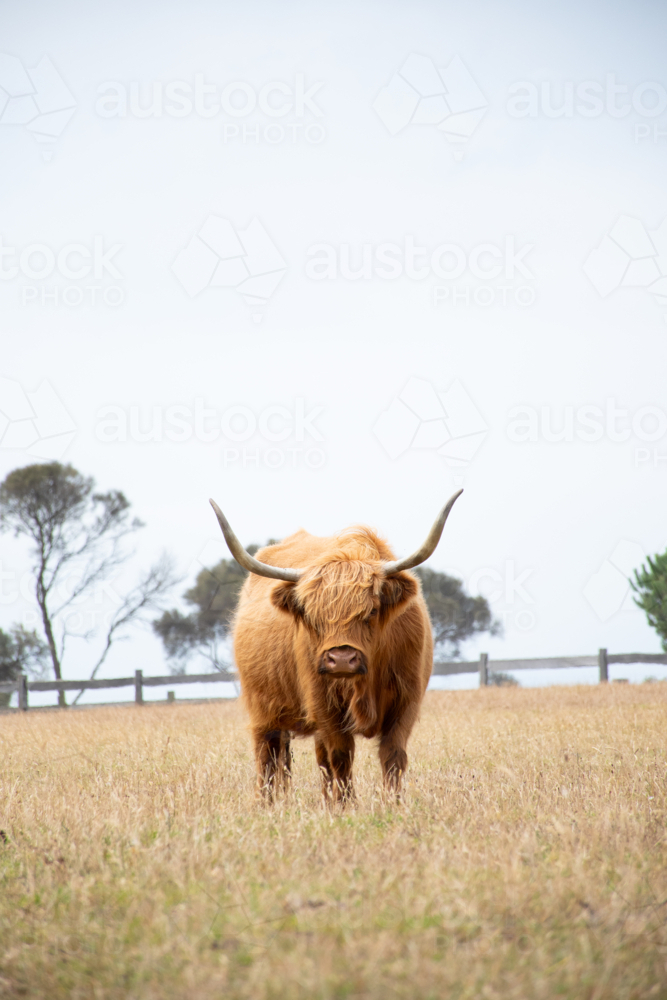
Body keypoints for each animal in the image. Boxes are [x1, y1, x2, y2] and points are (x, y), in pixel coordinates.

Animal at [209, 491, 463, 803]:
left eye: (372, 611)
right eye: (310, 614)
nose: (341, 659)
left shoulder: (407, 701)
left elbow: (392, 756)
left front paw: (393, 804)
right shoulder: (323, 706)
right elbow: (341, 758)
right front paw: (346, 807)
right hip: (262, 708)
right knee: (267, 755)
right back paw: (267, 804)